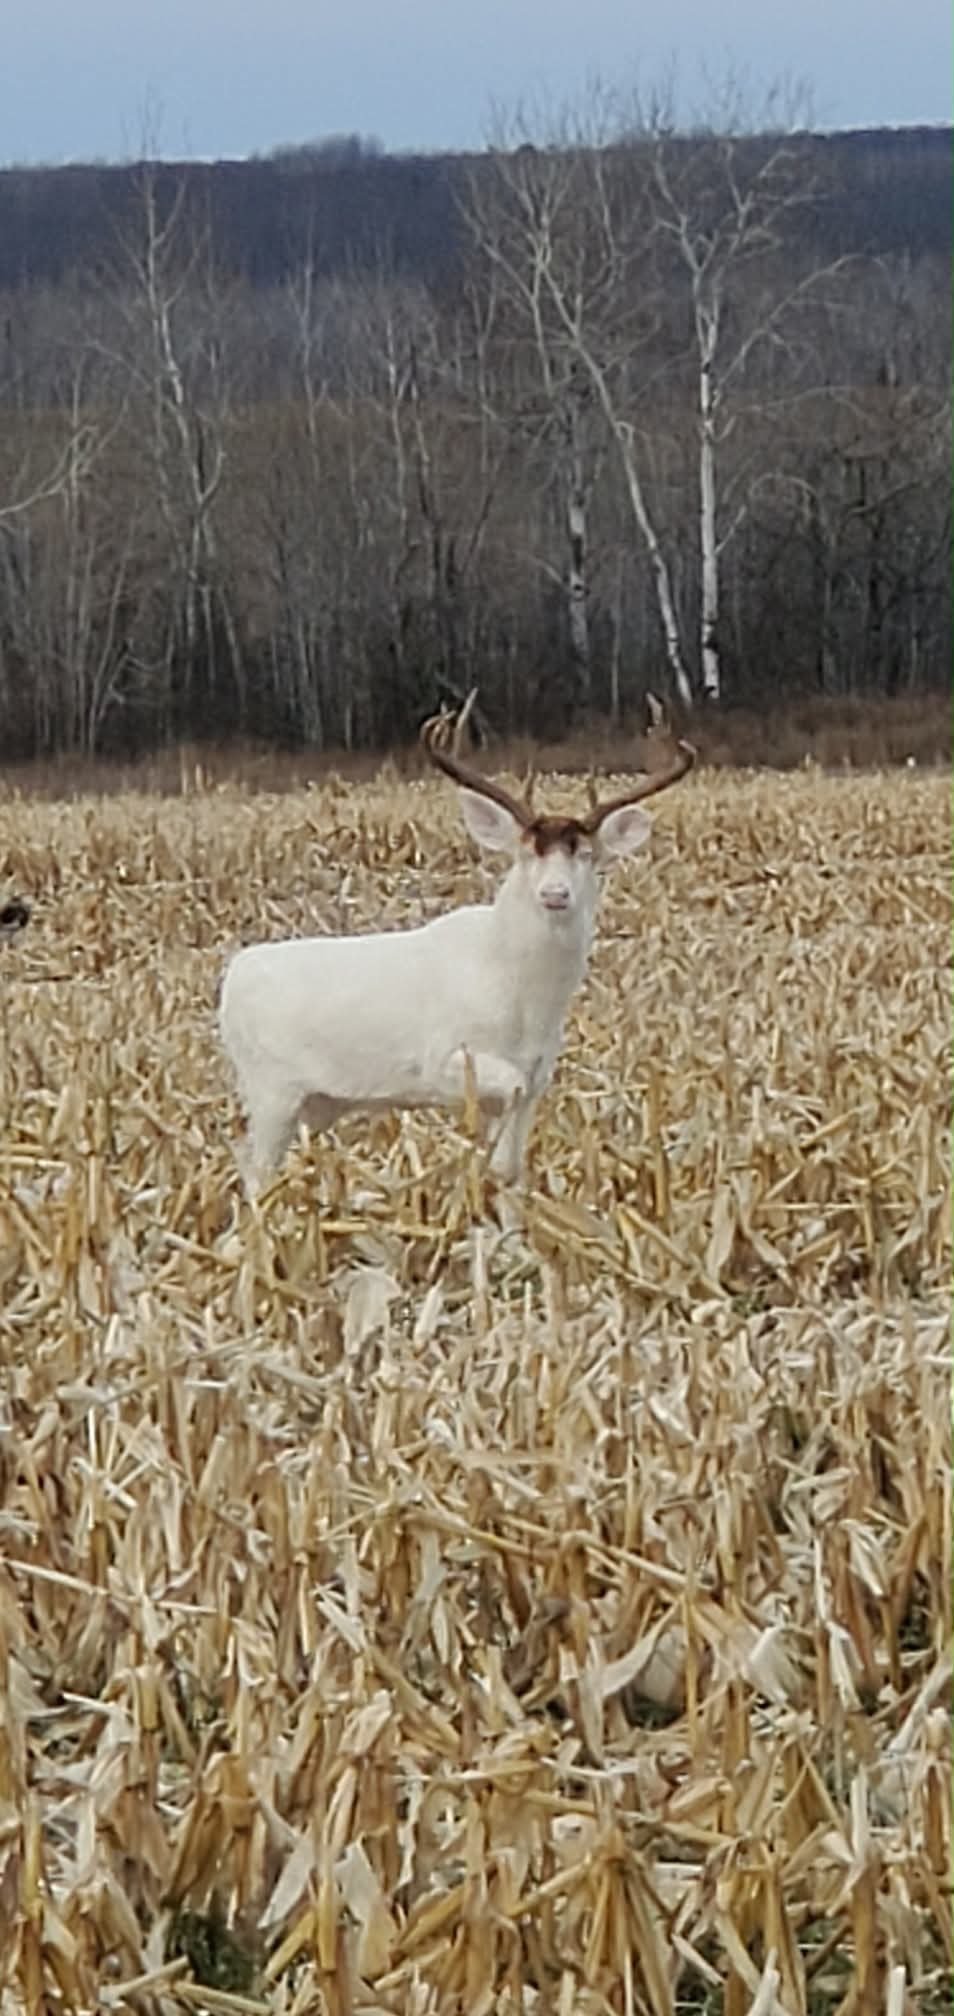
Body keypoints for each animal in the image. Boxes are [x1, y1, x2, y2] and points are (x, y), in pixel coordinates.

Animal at [218, 696, 694, 1196]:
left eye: (587, 855)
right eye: (526, 853)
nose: (555, 894)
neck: (520, 995)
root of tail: (232, 977)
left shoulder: (539, 1075)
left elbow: (512, 1165)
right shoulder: (445, 1060)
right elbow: (503, 1094)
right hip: (270, 1089)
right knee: (254, 1169)